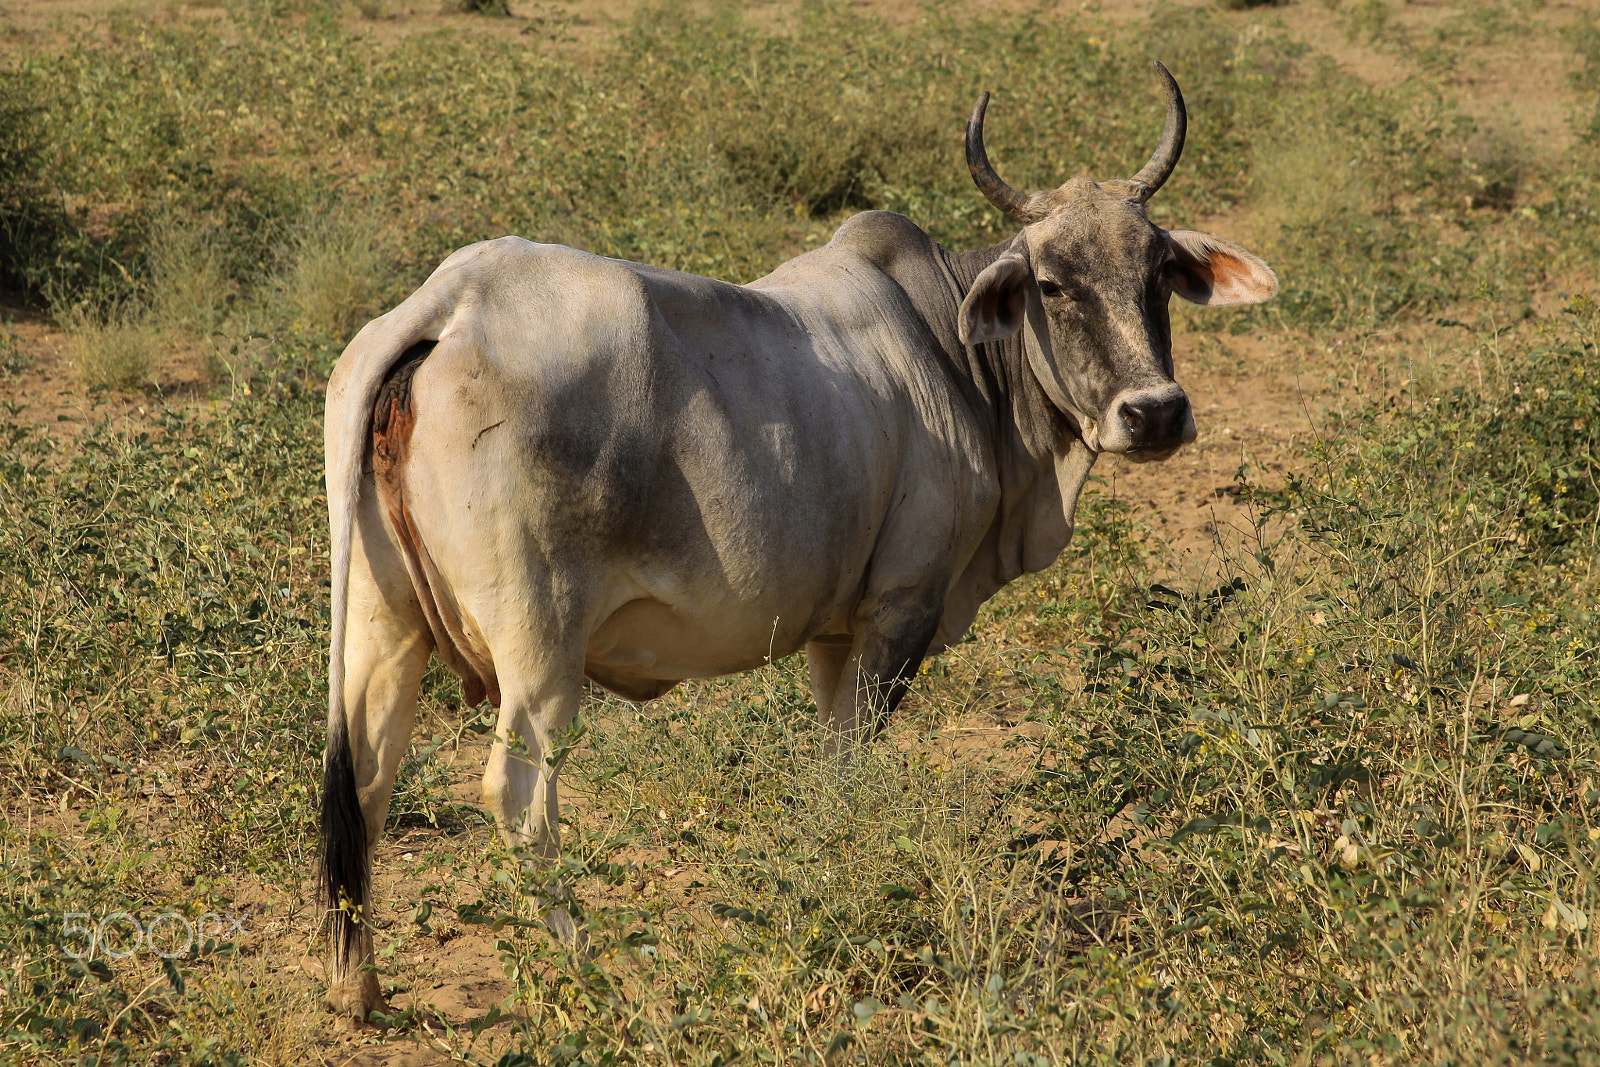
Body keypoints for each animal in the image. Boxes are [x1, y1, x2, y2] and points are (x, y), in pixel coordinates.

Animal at [318, 62, 1280, 1023]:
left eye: (1158, 273)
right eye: (1051, 284)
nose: (1155, 412)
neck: (958, 355)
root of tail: (453, 302)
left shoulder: (834, 631)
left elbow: (827, 765)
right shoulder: (900, 609)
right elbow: (850, 765)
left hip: (381, 621)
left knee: (364, 776)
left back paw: (358, 982)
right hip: (540, 646)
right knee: (518, 796)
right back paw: (585, 970)